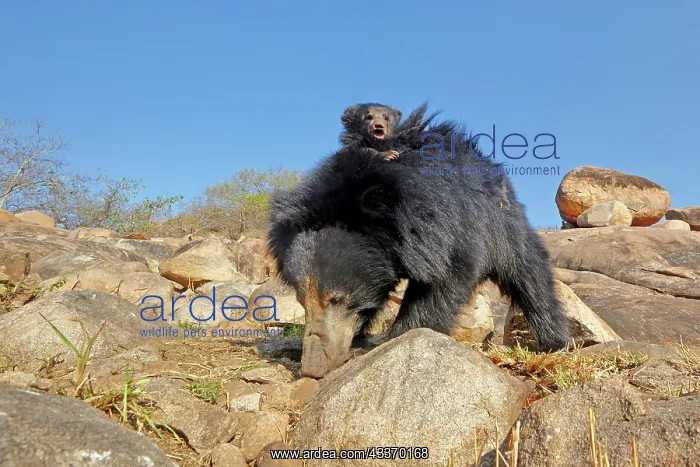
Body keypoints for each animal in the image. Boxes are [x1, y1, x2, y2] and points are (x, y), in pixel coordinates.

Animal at [268, 103, 570, 378]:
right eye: (301, 300)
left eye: (337, 299)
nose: (312, 369)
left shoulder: (451, 227)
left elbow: (446, 279)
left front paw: (396, 338)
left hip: (503, 223)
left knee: (528, 272)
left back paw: (555, 340)